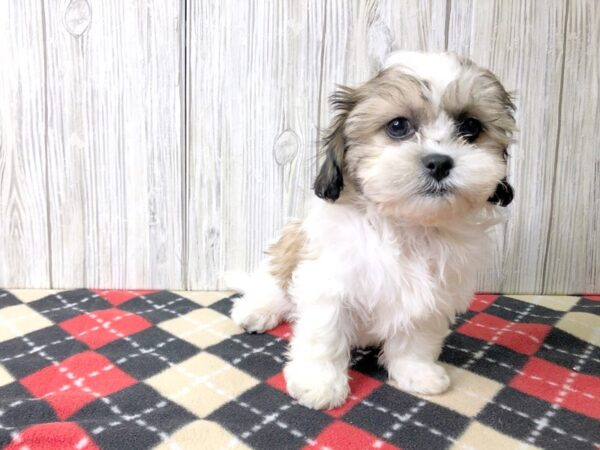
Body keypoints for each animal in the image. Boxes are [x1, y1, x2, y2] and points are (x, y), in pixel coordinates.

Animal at [230, 51, 516, 410]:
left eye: (471, 127)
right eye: (398, 126)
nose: (439, 162)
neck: (406, 227)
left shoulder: (432, 294)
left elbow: (417, 337)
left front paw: (416, 372)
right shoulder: (328, 283)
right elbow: (324, 335)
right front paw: (318, 382)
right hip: (285, 251)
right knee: (271, 286)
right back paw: (255, 310)